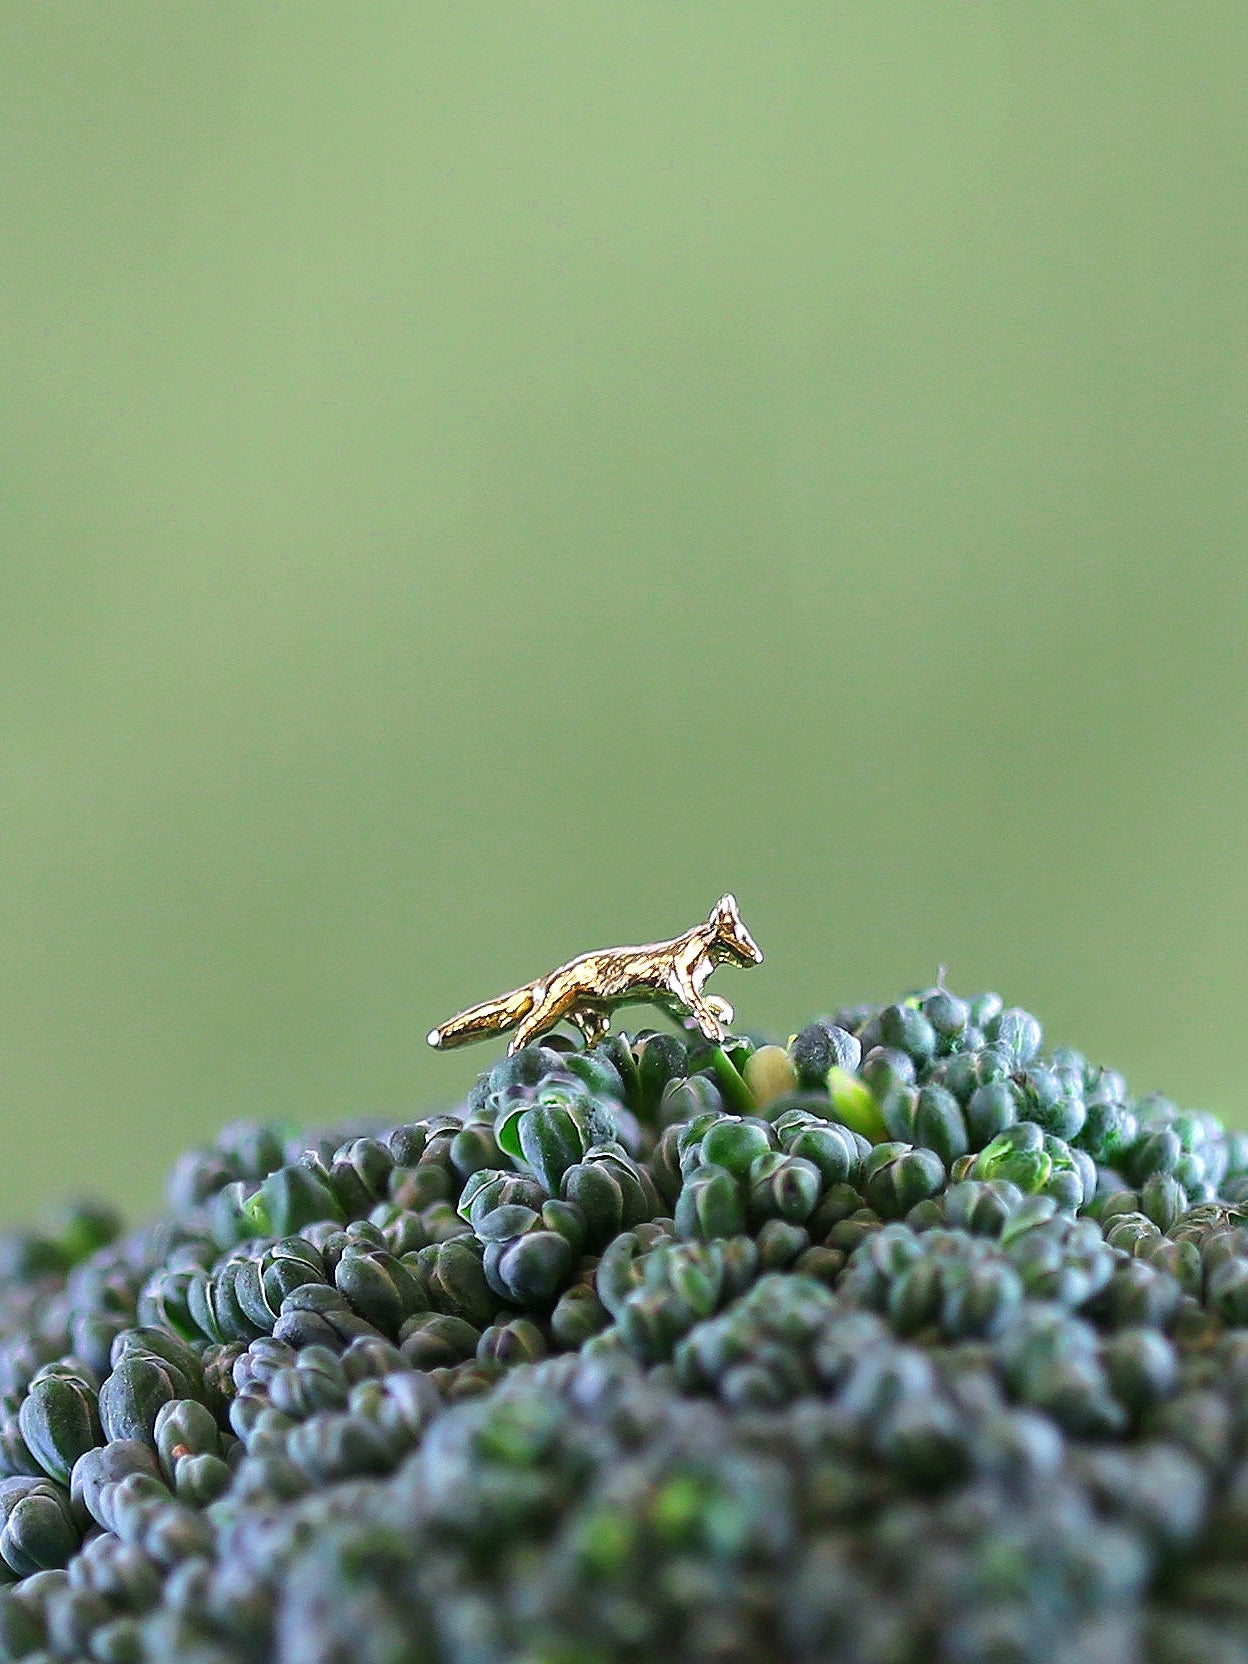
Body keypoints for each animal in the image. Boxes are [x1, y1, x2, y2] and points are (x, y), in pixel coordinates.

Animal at [427, 894, 764, 1056]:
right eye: (742, 936)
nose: (758, 958)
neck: (704, 952)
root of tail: (547, 978)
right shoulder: (680, 985)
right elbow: (700, 1008)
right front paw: (716, 1033)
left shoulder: (673, 999)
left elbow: (708, 1003)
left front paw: (724, 1013)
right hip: (550, 1011)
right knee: (523, 1031)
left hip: (593, 1017)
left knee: (592, 1038)